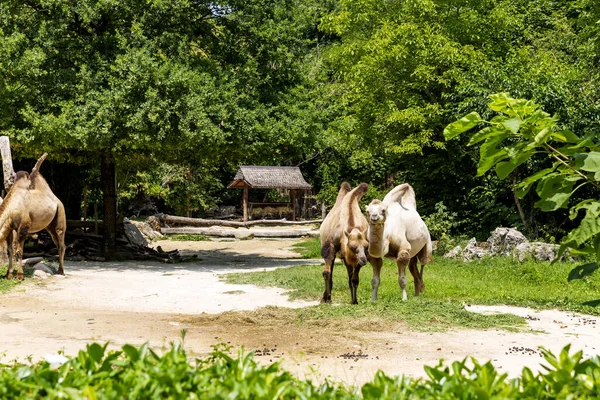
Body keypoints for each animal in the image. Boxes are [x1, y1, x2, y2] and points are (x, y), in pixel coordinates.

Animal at [0, 154, 66, 282]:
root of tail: (57, 200)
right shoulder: (9, 228)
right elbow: (10, 250)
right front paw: (8, 274)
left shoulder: (23, 227)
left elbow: (19, 251)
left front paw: (20, 275)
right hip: (49, 226)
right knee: (56, 242)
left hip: (60, 214)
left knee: (61, 244)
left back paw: (61, 271)